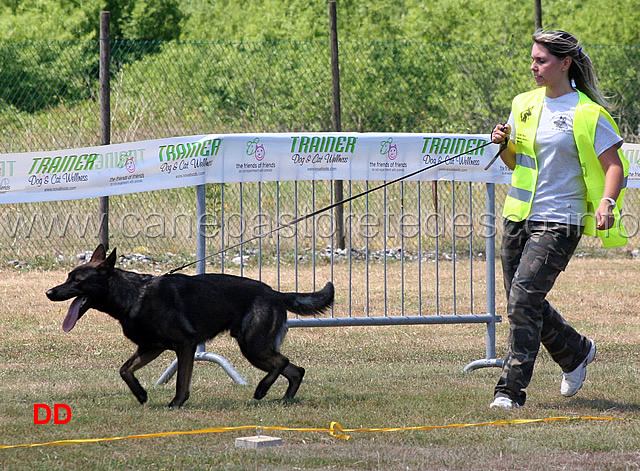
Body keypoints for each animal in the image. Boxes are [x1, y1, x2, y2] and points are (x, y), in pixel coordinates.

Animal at [46, 245, 336, 408]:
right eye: (67, 277)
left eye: (77, 280)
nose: (49, 292)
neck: (133, 295)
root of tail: (276, 293)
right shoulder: (150, 348)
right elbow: (124, 370)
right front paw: (141, 394)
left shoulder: (184, 346)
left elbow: (181, 381)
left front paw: (176, 403)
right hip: (257, 349)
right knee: (295, 370)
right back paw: (285, 400)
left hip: (253, 347)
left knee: (282, 362)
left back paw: (262, 390)